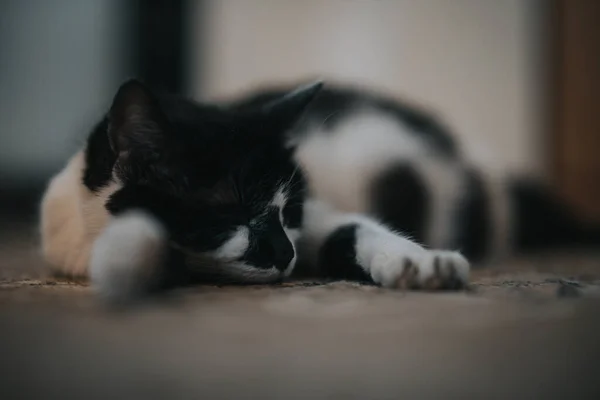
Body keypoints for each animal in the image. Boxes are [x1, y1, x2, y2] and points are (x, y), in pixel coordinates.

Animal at [38, 79, 600, 304]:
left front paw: (419, 263)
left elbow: (354, 228)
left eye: (291, 211)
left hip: (390, 166)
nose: (286, 254)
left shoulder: (321, 221)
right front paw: (131, 263)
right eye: (230, 212)